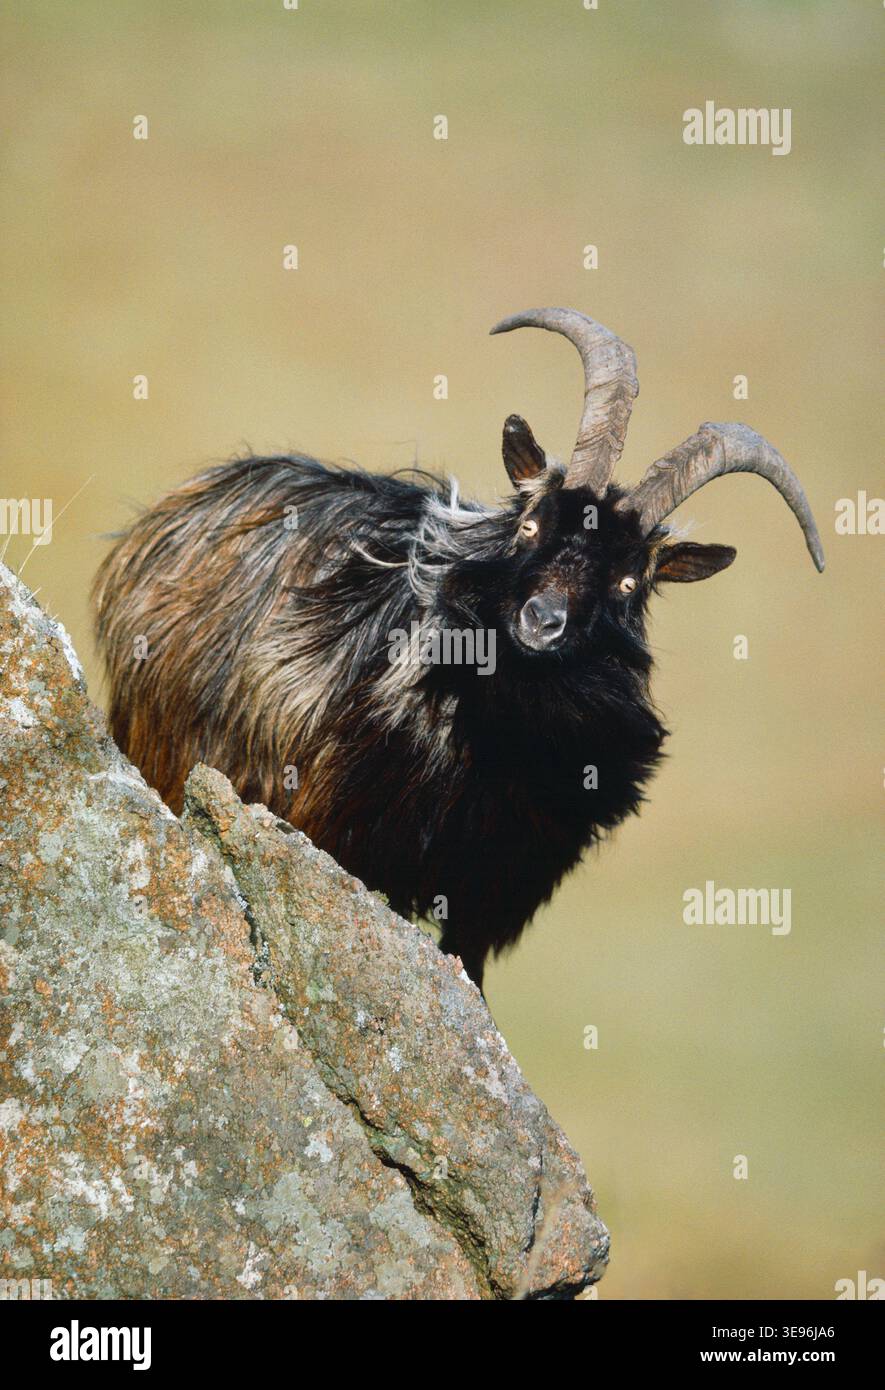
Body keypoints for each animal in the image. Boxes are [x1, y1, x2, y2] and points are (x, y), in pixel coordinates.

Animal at [93, 308, 824, 989]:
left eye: (627, 582)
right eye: (530, 525)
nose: (542, 619)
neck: (498, 734)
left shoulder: (499, 885)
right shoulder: (344, 832)